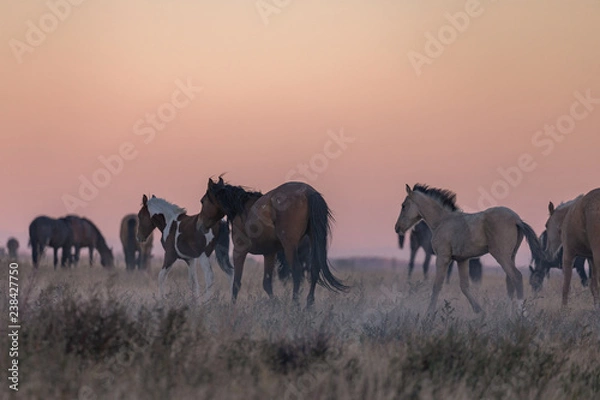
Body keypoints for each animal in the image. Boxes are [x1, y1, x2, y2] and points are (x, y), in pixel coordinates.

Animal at [197, 177, 346, 306]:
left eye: (202, 201)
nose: (200, 225)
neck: (242, 210)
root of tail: (308, 192)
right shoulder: (269, 253)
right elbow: (267, 283)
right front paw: (275, 304)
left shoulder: (239, 251)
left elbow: (236, 283)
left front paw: (232, 308)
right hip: (313, 240)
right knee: (314, 269)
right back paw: (309, 304)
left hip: (290, 246)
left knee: (297, 272)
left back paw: (295, 304)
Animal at [396, 184, 548, 316]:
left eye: (403, 206)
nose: (397, 228)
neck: (442, 221)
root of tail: (517, 219)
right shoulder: (462, 260)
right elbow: (464, 286)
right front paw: (480, 311)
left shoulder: (443, 257)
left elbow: (437, 285)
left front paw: (429, 313)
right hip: (512, 255)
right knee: (510, 281)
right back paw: (508, 314)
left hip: (501, 255)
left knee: (516, 276)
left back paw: (523, 314)